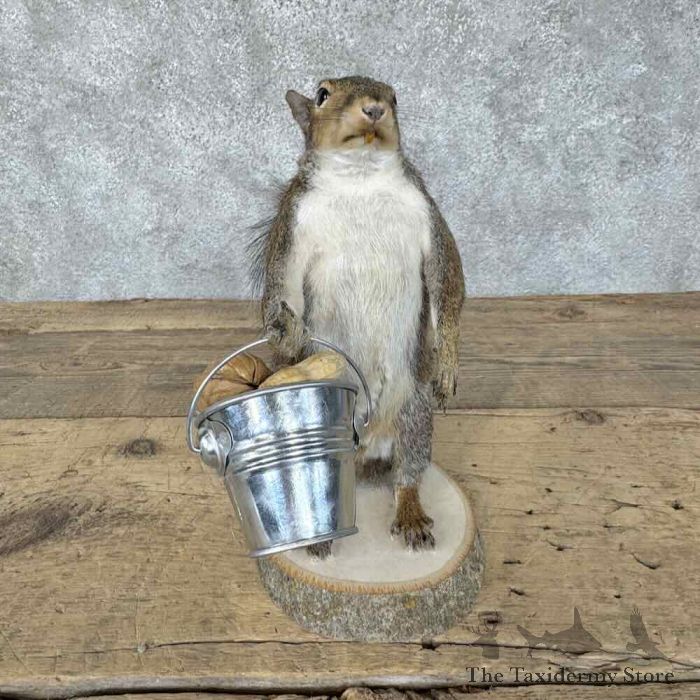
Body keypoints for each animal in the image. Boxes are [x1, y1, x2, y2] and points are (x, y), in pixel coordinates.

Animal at [250, 76, 465, 556]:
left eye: (395, 96)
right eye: (322, 94)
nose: (374, 109)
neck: (360, 178)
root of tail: (364, 447)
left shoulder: (430, 219)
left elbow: (449, 286)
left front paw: (447, 365)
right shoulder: (291, 228)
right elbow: (282, 289)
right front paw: (285, 331)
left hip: (414, 410)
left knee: (408, 470)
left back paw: (410, 514)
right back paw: (316, 537)